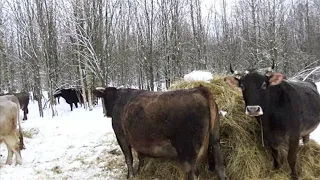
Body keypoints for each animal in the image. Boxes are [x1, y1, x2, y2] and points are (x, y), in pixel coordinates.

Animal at [93, 86, 228, 180]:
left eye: (104, 98)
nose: (105, 113)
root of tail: (200, 90)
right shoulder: (139, 142)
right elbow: (141, 158)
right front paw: (140, 171)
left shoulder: (121, 137)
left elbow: (129, 159)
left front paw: (131, 176)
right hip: (215, 142)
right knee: (221, 169)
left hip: (187, 153)